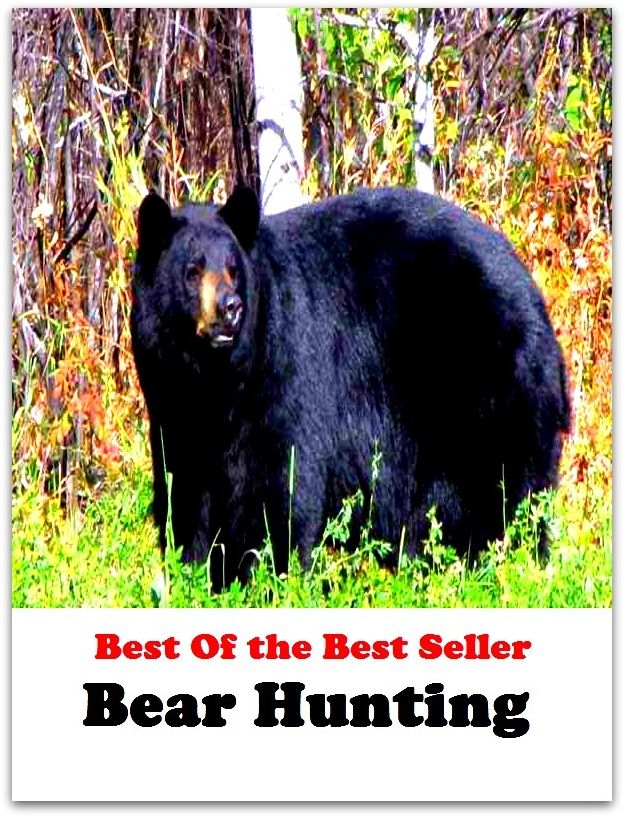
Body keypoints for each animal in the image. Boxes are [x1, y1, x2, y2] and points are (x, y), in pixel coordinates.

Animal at [131, 185, 570, 591]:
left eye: (233, 269)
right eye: (192, 270)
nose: (230, 308)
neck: (218, 381)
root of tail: (533, 297)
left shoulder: (284, 367)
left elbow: (282, 483)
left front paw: (267, 576)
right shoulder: (173, 406)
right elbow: (185, 490)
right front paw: (195, 572)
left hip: (488, 391)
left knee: (503, 496)